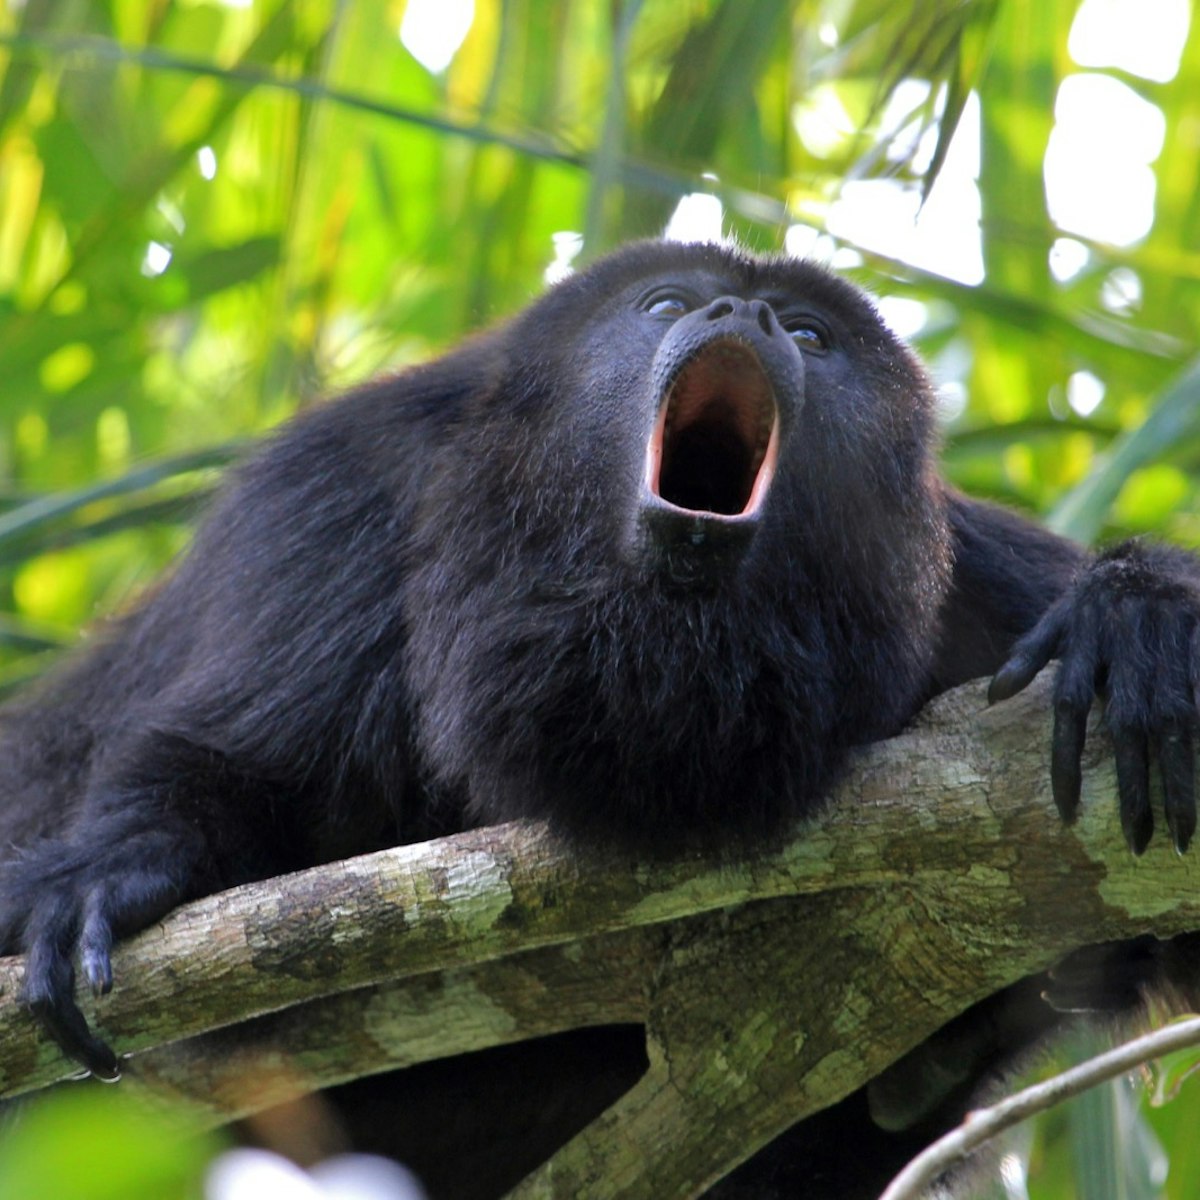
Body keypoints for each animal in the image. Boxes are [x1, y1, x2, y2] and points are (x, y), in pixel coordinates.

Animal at [1, 239, 1197, 1195]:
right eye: (668, 304)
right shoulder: (339, 492)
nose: (747, 312)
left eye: (812, 333)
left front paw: (1138, 613)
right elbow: (235, 764)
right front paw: (117, 868)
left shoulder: (971, 588)